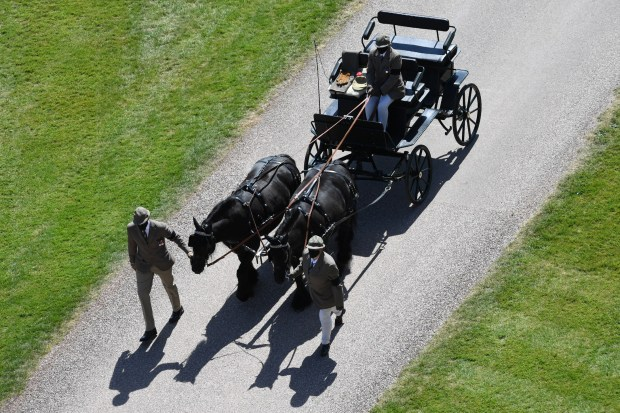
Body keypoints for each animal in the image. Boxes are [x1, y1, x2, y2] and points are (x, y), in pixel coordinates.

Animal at [190, 154, 302, 300]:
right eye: (192, 243)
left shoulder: (252, 242)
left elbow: (241, 269)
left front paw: (243, 291)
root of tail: (284, 158)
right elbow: (244, 262)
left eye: (204, 245)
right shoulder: (239, 246)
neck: (232, 219)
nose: (195, 267)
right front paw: (252, 277)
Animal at [266, 161, 358, 308]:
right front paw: (301, 297)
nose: (279, 279)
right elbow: (298, 274)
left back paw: (343, 258)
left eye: (283, 256)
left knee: (346, 234)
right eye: (271, 256)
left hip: (348, 213)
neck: (303, 221)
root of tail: (337, 163)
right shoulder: (294, 252)